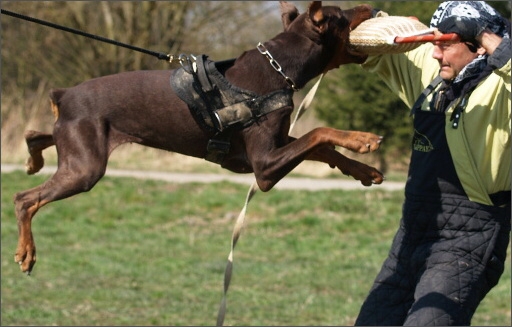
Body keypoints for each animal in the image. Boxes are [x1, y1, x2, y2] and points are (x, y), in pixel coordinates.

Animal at [12, 1, 382, 276]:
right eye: (343, 14)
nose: (371, 5)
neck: (279, 68)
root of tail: (65, 95)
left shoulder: (275, 145)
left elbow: (323, 148)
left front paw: (363, 170)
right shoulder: (263, 167)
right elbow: (319, 134)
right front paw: (363, 138)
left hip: (78, 146)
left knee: (37, 136)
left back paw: (32, 157)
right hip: (86, 167)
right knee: (24, 199)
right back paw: (26, 251)